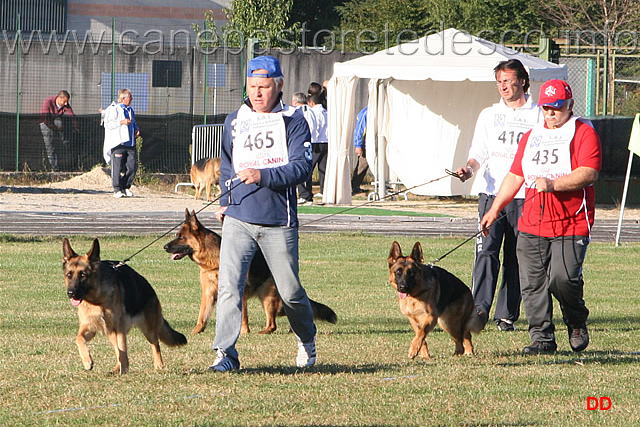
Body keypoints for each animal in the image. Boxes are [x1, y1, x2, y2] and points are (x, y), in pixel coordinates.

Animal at [62, 238, 187, 374]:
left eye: (83, 275)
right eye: (69, 275)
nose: (71, 293)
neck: (97, 299)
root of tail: (148, 286)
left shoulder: (119, 327)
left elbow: (122, 349)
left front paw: (125, 369)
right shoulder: (90, 327)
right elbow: (79, 339)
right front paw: (87, 361)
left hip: (148, 329)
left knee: (155, 344)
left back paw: (158, 365)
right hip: (111, 331)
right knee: (117, 348)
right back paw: (117, 368)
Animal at [164, 209, 337, 335]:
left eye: (181, 237)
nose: (164, 247)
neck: (213, 261)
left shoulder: (240, 292)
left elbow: (242, 316)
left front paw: (243, 333)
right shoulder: (209, 293)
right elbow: (202, 315)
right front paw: (196, 331)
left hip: (268, 297)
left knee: (273, 323)